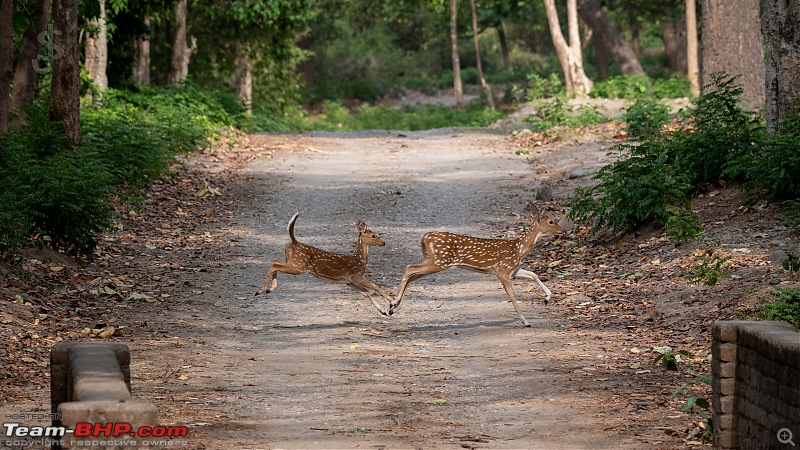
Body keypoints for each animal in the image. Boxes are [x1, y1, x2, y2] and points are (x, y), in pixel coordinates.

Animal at [256, 214, 394, 316]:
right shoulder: (356, 275)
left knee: (274, 261)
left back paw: (269, 289)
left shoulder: (348, 281)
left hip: (292, 262)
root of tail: (294, 242)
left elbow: (366, 292)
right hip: (299, 266)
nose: (384, 242)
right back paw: (261, 290)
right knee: (274, 265)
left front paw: (383, 310)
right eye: (373, 235)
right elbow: (374, 286)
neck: (360, 259)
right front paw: (392, 303)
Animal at [390, 205, 564, 326]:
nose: (563, 230)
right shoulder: (502, 271)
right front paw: (525, 321)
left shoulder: (513, 270)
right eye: (551, 221)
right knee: (409, 268)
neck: (519, 249)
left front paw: (547, 298)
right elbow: (513, 296)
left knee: (412, 276)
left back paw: (394, 308)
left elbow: (534, 274)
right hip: (439, 261)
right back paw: (393, 303)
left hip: (435, 261)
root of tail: (424, 238)